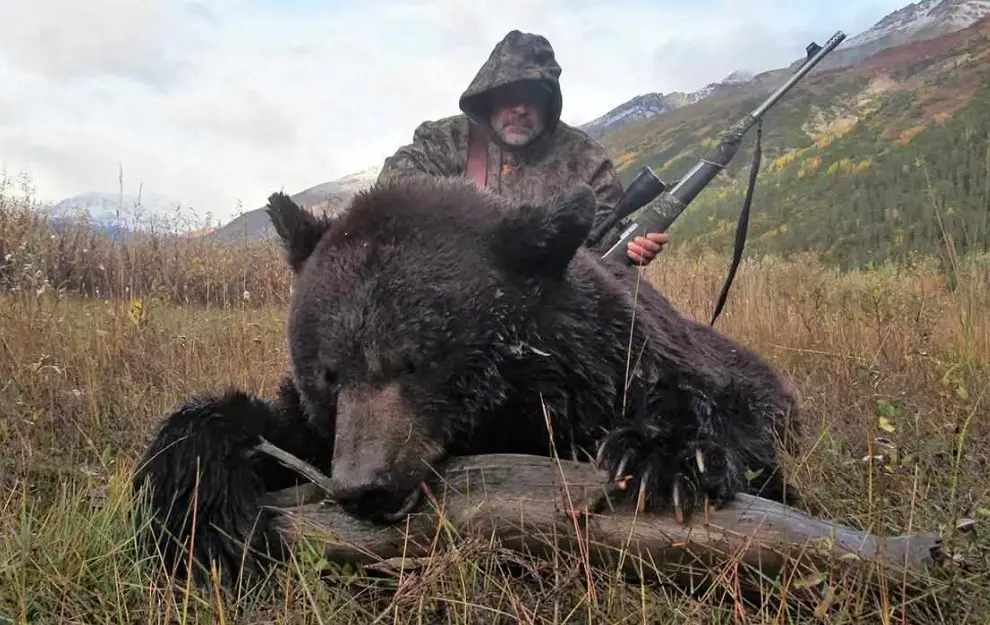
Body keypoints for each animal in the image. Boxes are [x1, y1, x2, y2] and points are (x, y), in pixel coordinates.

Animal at [131, 175, 800, 591]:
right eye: (329, 372)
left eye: (418, 360)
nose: (363, 486)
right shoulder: (316, 426)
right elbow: (260, 429)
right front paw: (198, 512)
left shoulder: (618, 361)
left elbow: (737, 425)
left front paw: (665, 454)